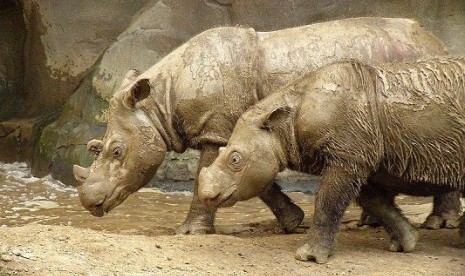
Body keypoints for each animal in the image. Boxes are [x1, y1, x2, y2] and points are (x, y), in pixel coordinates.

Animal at [73, 16, 460, 233]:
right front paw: (292, 222)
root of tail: (437, 41)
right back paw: (371, 221)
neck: (159, 104)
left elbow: (209, 175)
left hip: (424, 76)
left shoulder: (218, 128)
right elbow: (256, 179)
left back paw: (438, 224)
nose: (89, 204)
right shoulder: (244, 129)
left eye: (116, 151)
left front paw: (189, 232)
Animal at [199, 56, 464, 264]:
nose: (206, 195)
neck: (282, 125)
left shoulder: (347, 156)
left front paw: (308, 257)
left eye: (235, 159)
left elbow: (328, 200)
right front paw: (406, 243)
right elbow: (374, 201)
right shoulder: (359, 156)